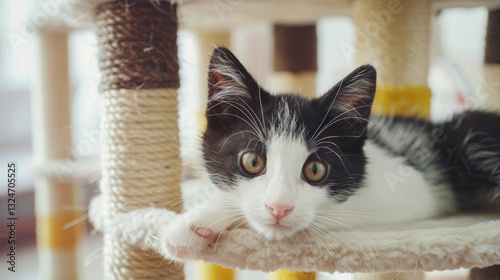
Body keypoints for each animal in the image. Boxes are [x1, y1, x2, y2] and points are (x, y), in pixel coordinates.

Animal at [163, 47, 496, 260]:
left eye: (315, 169)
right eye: (252, 161)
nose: (279, 208)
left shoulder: (410, 186)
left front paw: (201, 218)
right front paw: (197, 225)